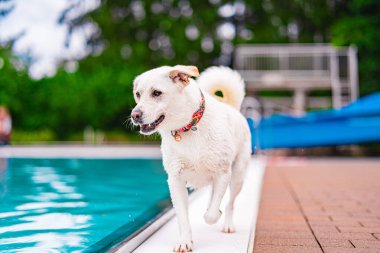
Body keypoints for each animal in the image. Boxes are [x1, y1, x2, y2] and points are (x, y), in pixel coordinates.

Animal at [132, 64, 251, 251]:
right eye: (138, 94)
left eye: (157, 93)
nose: (134, 115)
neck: (187, 128)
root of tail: (232, 108)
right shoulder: (176, 180)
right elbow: (182, 216)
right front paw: (185, 242)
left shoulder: (223, 174)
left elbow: (211, 215)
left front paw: (214, 215)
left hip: (237, 176)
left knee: (230, 203)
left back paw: (227, 224)